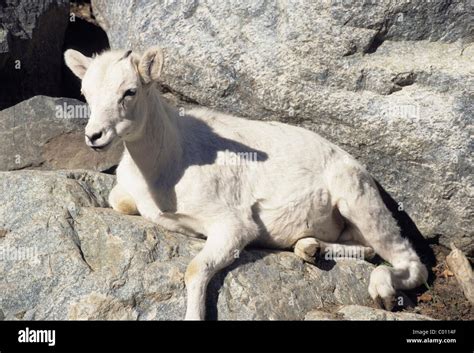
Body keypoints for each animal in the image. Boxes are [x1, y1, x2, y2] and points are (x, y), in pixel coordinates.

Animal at [64, 46, 430, 320]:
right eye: (85, 93)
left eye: (130, 91)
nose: (94, 136)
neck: (167, 165)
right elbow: (120, 202)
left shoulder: (233, 226)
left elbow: (194, 269)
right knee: (364, 249)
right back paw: (309, 249)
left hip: (359, 201)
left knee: (409, 262)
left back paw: (382, 292)